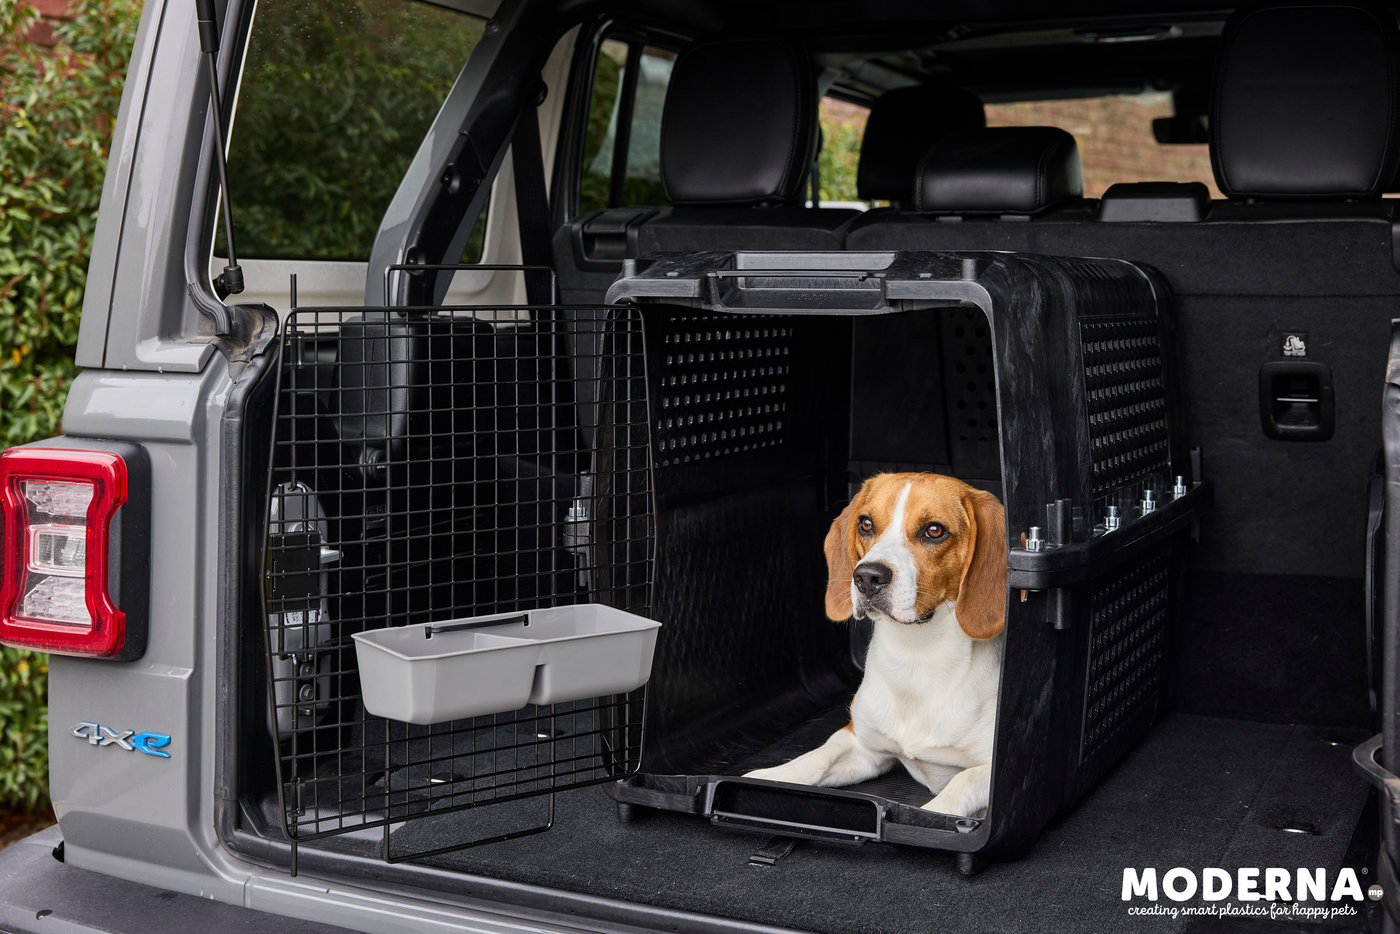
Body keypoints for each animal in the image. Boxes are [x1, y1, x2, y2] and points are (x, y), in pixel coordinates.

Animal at [745, 472, 1007, 818]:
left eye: (934, 530)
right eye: (866, 524)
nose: (867, 576)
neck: (916, 659)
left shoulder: (992, 771)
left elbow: (960, 784)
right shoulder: (861, 746)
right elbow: (815, 758)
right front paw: (765, 778)